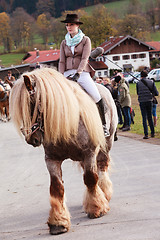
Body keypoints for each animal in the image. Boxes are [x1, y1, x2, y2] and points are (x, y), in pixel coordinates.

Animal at [9, 66, 117, 235]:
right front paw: (58, 222)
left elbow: (91, 178)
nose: (31, 139)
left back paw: (104, 194)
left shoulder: (89, 152)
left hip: (106, 144)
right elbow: (56, 187)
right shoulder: (52, 159)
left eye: (32, 104)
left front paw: (97, 208)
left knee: (101, 168)